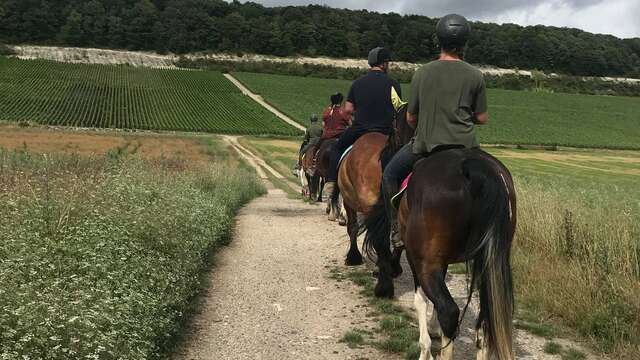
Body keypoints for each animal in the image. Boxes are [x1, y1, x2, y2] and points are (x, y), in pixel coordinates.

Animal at [362, 147, 516, 360]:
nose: (380, 288)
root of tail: (474, 167)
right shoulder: (440, 261)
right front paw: (435, 329)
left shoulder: (418, 260)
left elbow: (421, 301)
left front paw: (426, 348)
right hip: (488, 263)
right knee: (485, 319)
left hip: (426, 263)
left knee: (449, 311)